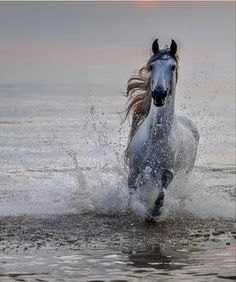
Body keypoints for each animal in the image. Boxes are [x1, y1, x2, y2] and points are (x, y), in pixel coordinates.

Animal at [123, 38, 199, 221]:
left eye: (172, 66)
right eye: (152, 66)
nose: (158, 94)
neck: (155, 138)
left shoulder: (167, 173)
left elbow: (160, 196)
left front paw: (154, 214)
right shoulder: (134, 171)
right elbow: (134, 198)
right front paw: (141, 210)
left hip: (185, 173)